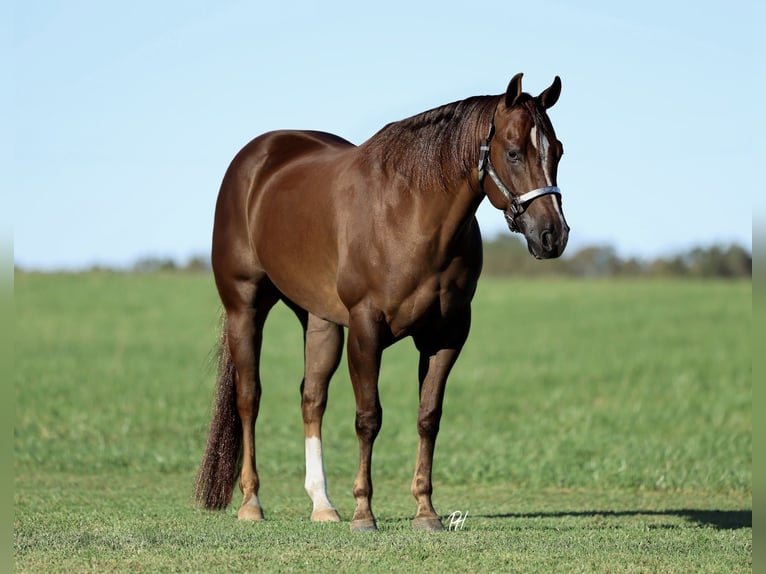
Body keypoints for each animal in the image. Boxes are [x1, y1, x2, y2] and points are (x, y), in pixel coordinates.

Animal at [194, 73, 569, 531]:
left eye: (558, 151)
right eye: (514, 152)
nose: (552, 235)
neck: (410, 215)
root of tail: (256, 158)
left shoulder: (447, 334)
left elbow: (428, 417)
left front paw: (425, 511)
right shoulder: (366, 328)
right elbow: (368, 418)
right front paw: (363, 513)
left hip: (318, 319)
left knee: (312, 398)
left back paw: (323, 504)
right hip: (245, 307)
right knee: (249, 397)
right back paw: (252, 502)